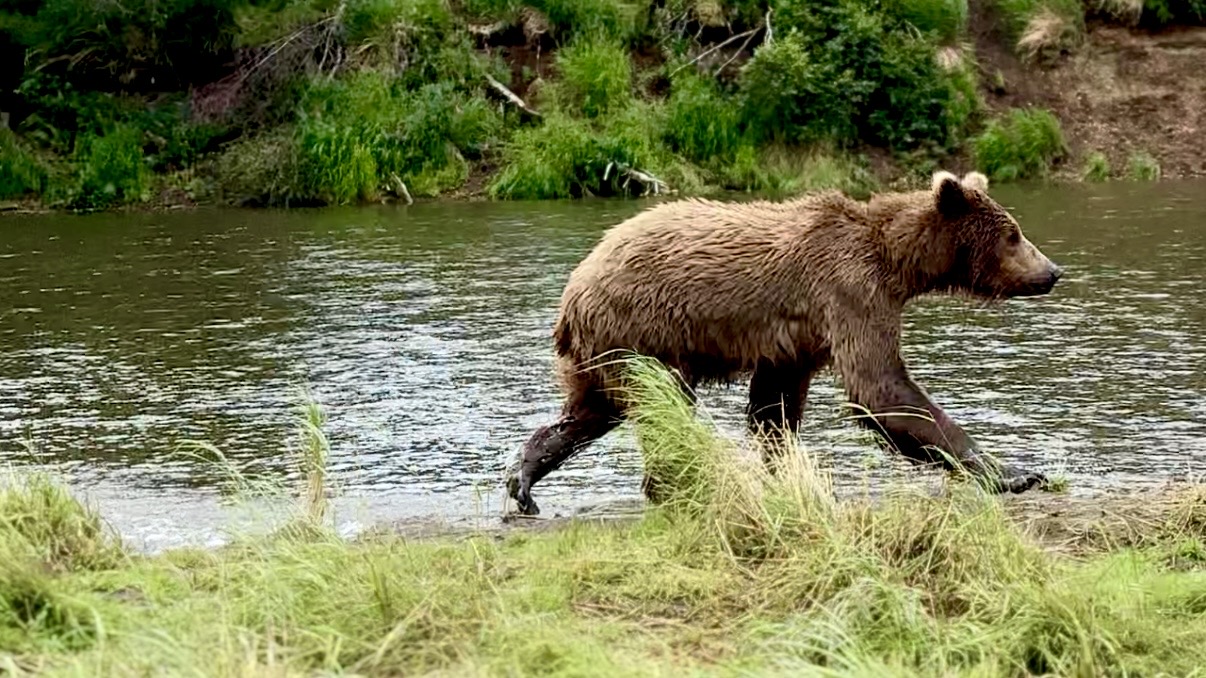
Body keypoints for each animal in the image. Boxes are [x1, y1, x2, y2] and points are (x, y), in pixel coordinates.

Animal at [506, 170, 1063, 516]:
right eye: (1013, 234)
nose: (1053, 270)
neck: (897, 262)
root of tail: (573, 290)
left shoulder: (798, 339)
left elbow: (774, 407)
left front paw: (785, 470)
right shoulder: (851, 294)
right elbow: (881, 388)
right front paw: (1015, 472)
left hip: (603, 348)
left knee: (591, 410)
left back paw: (524, 478)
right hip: (644, 327)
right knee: (662, 407)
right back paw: (674, 483)